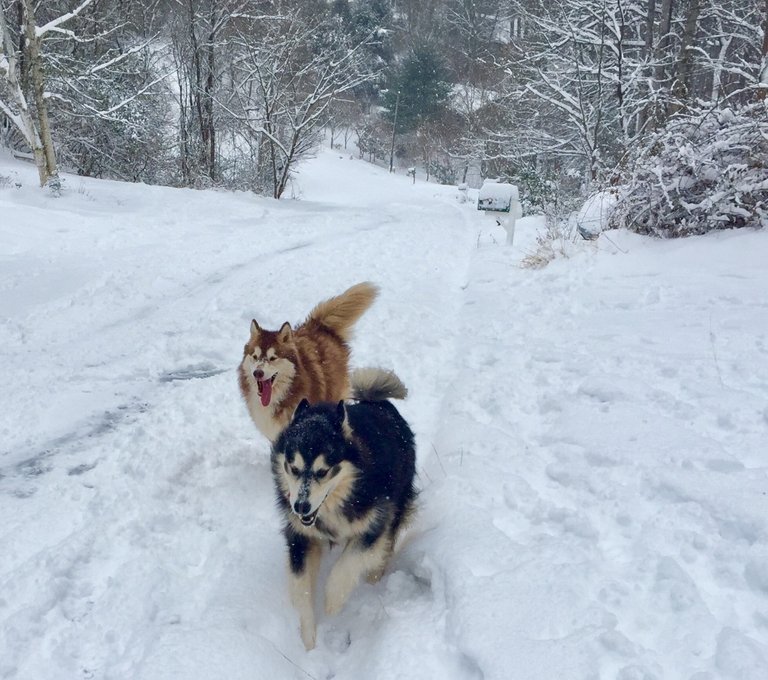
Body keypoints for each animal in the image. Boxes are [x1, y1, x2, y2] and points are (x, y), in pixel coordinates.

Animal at [270, 370, 414, 652]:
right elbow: (301, 587)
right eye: (293, 468)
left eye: (323, 471)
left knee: (386, 545)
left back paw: (374, 578)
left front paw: (332, 602)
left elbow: (347, 564)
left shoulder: (374, 525)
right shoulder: (300, 536)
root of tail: (378, 403)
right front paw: (309, 640)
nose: (300, 507)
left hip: (398, 503)